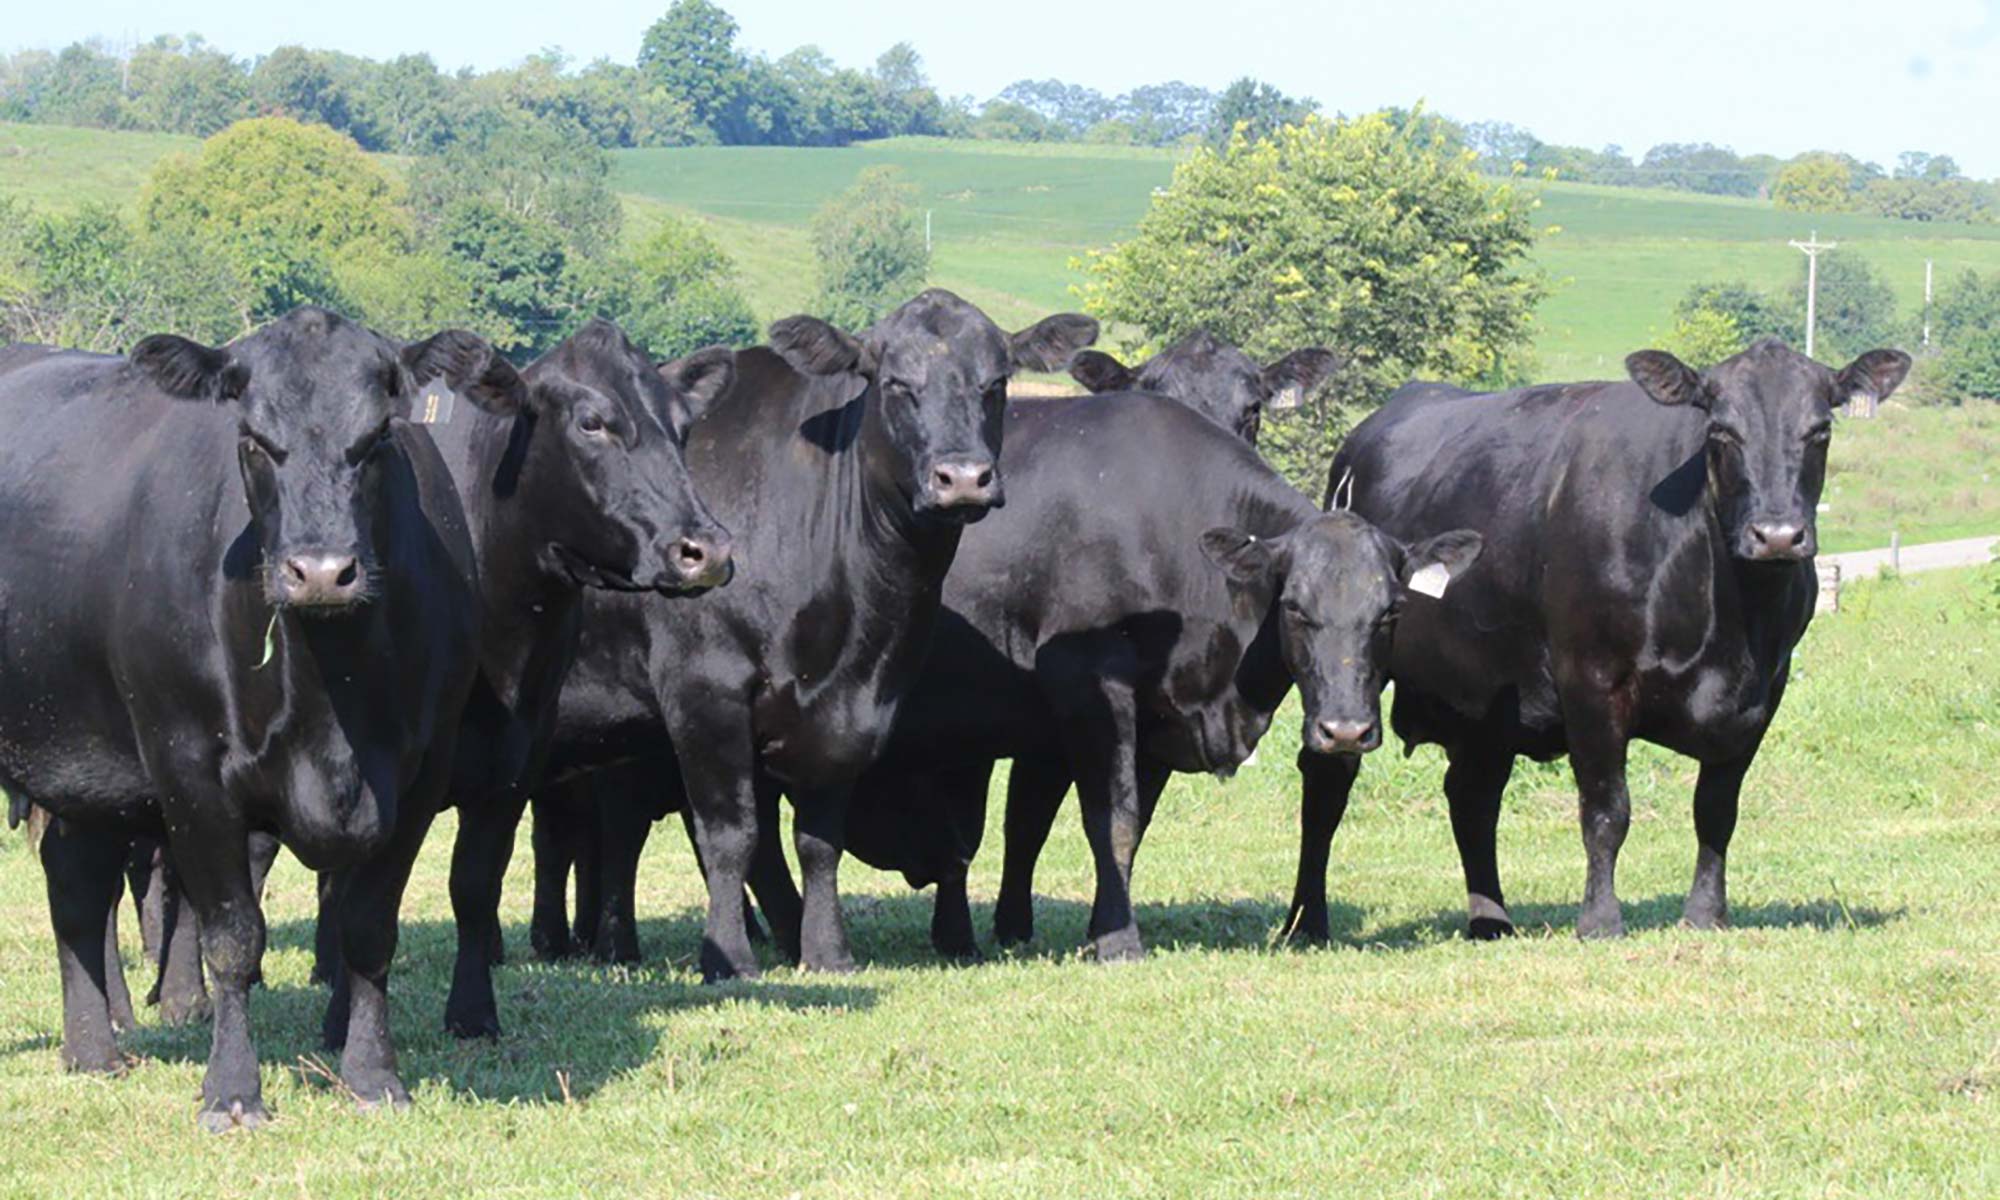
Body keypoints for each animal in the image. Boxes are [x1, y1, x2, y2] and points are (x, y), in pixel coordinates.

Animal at [3, 308, 516, 1128]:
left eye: (378, 436)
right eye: (252, 438)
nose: (320, 572)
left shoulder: (419, 775)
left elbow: (370, 930)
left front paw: (373, 1076)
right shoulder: (188, 771)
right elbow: (234, 940)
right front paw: (233, 1091)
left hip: (82, 759)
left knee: (75, 883)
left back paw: (92, 1051)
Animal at [490, 290, 1104, 984]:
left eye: (995, 383)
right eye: (894, 384)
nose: (964, 478)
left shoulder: (852, 710)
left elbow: (818, 839)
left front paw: (826, 950)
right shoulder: (704, 691)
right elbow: (729, 836)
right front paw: (729, 957)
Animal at [820, 390, 1480, 960]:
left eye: (1391, 610)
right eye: (1294, 606)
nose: (1344, 731)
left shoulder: (1159, 717)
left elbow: (1111, 827)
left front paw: (1082, 929)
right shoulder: (1089, 688)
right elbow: (1109, 819)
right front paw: (1117, 940)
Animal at [1288, 340, 1912, 948]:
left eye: (1821, 430)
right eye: (1720, 432)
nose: (1777, 535)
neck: (1729, 622)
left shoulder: (1763, 693)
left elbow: (1716, 810)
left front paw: (1706, 914)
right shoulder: (1589, 678)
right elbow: (1608, 810)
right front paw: (1600, 921)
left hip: (1488, 693)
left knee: (1472, 795)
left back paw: (1491, 920)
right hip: (1349, 672)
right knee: (1328, 778)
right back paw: (1307, 922)